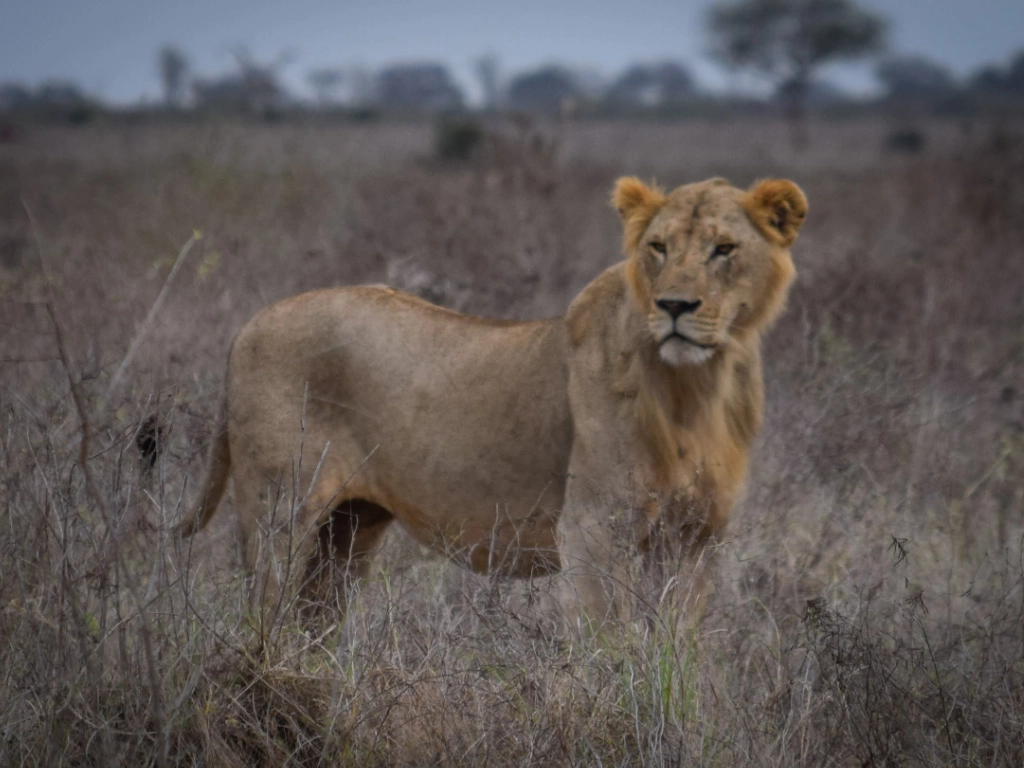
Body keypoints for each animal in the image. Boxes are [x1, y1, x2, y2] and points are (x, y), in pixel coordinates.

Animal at [178, 175, 807, 632]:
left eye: (724, 249)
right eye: (659, 247)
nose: (674, 305)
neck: (698, 389)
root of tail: (247, 327)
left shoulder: (698, 538)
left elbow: (679, 649)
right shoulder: (593, 529)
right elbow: (611, 642)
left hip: (351, 526)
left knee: (314, 620)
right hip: (280, 510)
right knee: (265, 614)